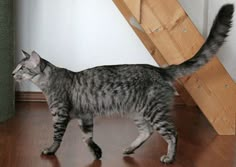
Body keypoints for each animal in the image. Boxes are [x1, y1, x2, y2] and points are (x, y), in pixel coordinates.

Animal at [12, 4, 234, 164]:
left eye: (21, 68)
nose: (13, 73)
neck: (49, 81)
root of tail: (160, 69)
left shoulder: (60, 115)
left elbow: (57, 137)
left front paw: (50, 150)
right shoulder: (86, 116)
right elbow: (87, 137)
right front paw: (97, 152)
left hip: (154, 111)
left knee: (172, 133)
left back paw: (169, 158)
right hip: (137, 112)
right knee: (147, 131)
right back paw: (130, 148)